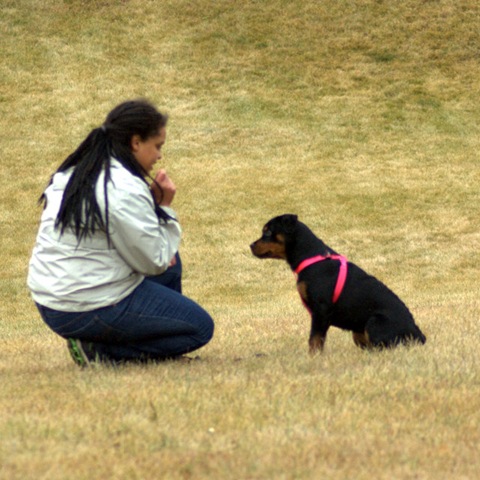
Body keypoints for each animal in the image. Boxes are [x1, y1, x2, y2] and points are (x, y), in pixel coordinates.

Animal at [250, 214, 426, 354]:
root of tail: (418, 333)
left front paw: (313, 359)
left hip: (374, 322)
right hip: (358, 331)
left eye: (267, 232)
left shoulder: (321, 310)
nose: (251, 245)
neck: (310, 257)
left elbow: (315, 340)